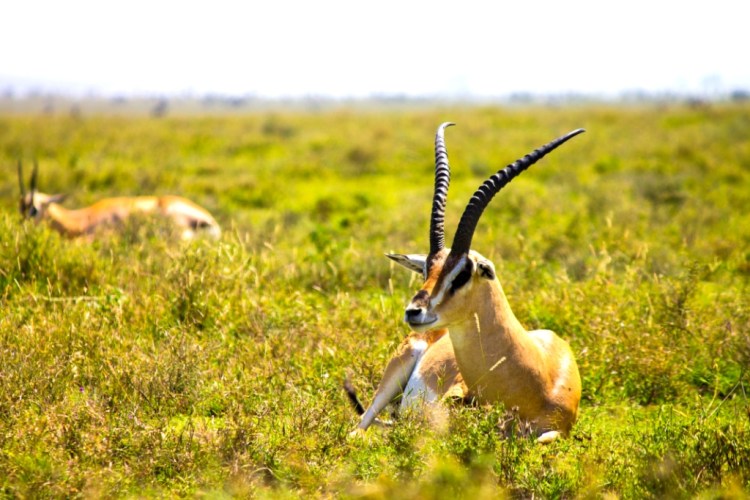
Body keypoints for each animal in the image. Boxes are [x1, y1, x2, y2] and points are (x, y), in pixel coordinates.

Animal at [349, 123, 584, 443]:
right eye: (426, 270)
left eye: (462, 274)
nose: (414, 311)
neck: (539, 377)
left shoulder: (555, 431)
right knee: (359, 429)